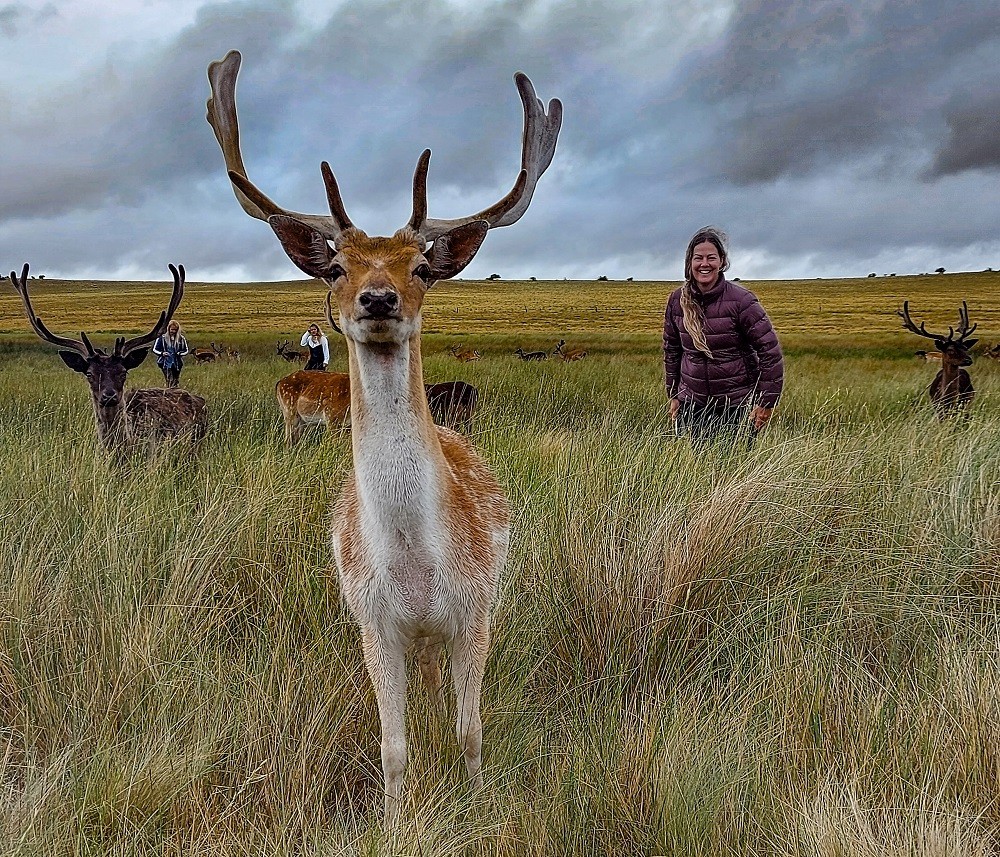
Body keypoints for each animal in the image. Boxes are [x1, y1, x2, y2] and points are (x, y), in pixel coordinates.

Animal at [207, 48, 560, 824]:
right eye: (337, 265)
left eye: (421, 265)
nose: (377, 297)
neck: (416, 562)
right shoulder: (372, 620)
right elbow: (391, 744)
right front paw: (395, 816)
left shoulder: (474, 610)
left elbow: (471, 728)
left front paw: (479, 800)